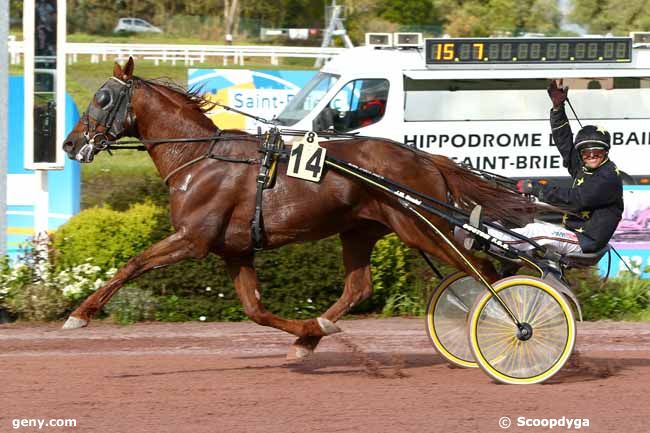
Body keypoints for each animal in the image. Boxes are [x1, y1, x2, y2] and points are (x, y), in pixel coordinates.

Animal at [60, 59, 536, 360]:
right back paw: (318, 330)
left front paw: (79, 315)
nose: (68, 143)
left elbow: (133, 263)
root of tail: (425, 158)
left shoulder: (192, 240)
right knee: (359, 288)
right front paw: (307, 334)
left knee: (483, 271)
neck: (200, 159)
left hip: (420, 227)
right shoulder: (235, 250)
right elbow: (255, 310)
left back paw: (513, 328)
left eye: (103, 98)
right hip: (360, 229)